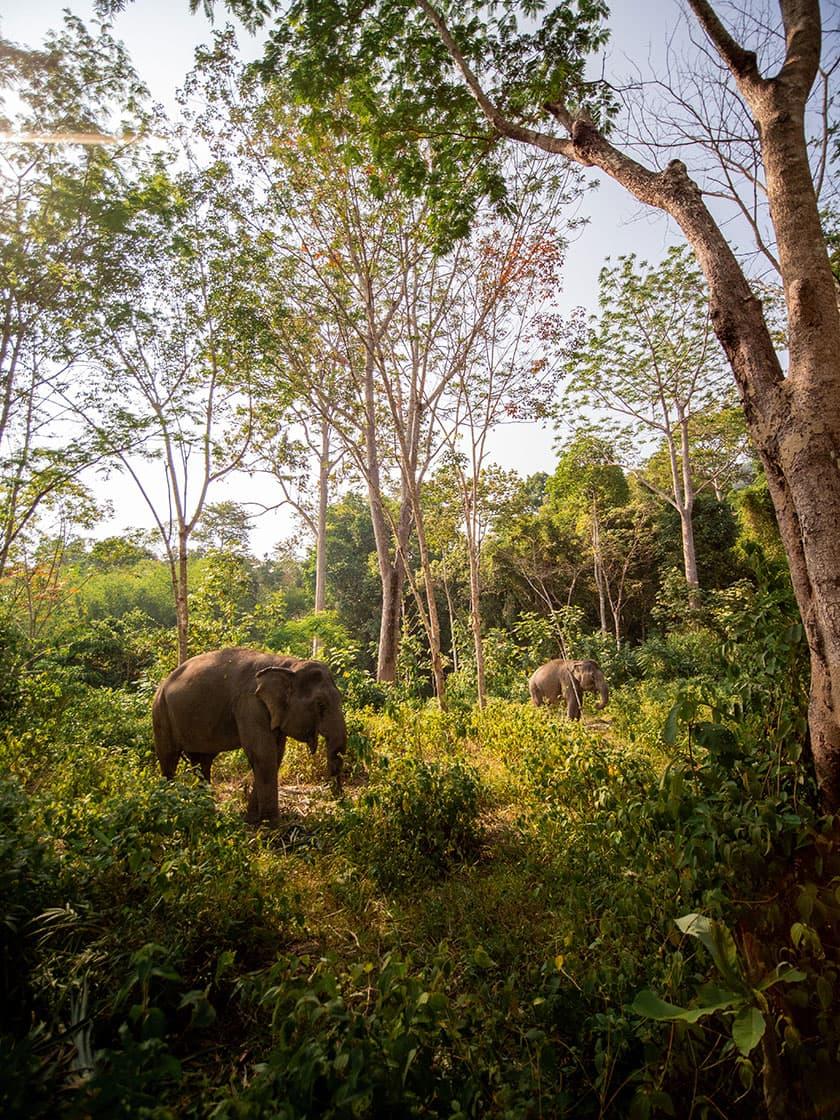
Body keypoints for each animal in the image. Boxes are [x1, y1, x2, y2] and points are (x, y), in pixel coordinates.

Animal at [153, 649, 347, 824]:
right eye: (320, 704)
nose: (340, 801)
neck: (288, 665)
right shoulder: (249, 704)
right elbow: (263, 754)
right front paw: (272, 825)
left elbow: (276, 755)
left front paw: (252, 820)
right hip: (161, 713)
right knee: (169, 760)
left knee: (202, 763)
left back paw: (206, 813)